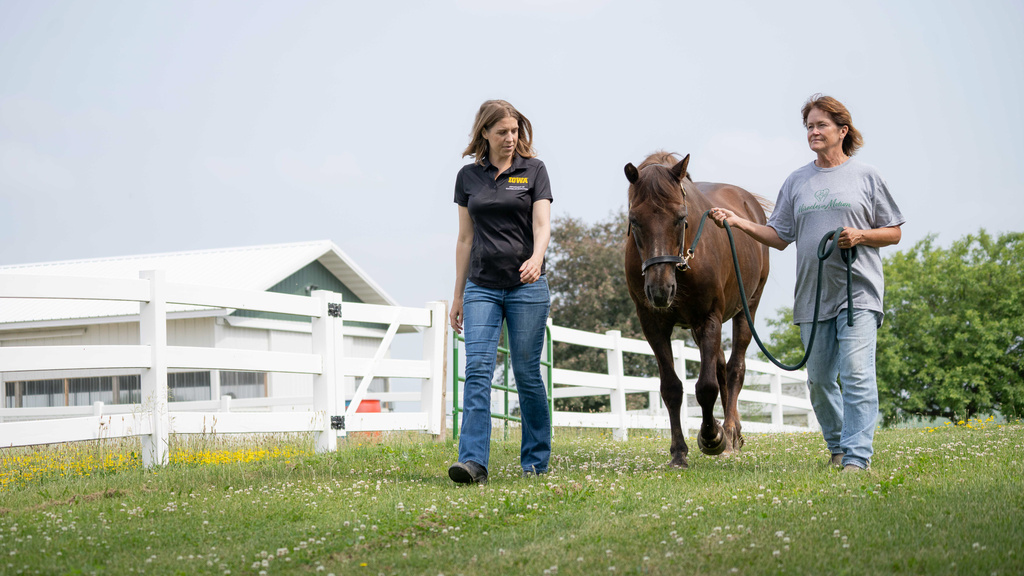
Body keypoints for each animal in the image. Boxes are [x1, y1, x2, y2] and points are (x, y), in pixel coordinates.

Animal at [624, 151, 771, 468]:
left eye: (681, 218)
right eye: (634, 220)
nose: (660, 290)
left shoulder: (708, 318)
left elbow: (705, 387)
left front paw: (712, 437)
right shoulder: (653, 325)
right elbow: (671, 388)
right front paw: (679, 451)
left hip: (747, 307)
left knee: (735, 368)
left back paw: (729, 432)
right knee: (721, 366)